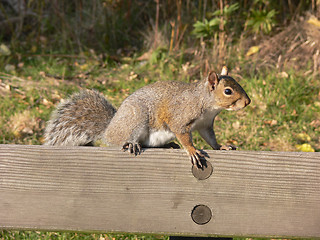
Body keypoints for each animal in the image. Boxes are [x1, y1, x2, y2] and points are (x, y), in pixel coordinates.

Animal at [44, 65, 250, 167]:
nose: (247, 102)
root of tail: (108, 130)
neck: (206, 104)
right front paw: (192, 150)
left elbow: (210, 139)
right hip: (137, 119)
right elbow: (183, 135)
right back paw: (132, 144)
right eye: (228, 91)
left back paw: (168, 145)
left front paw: (221, 146)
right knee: (125, 140)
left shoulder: (205, 125)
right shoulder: (180, 118)